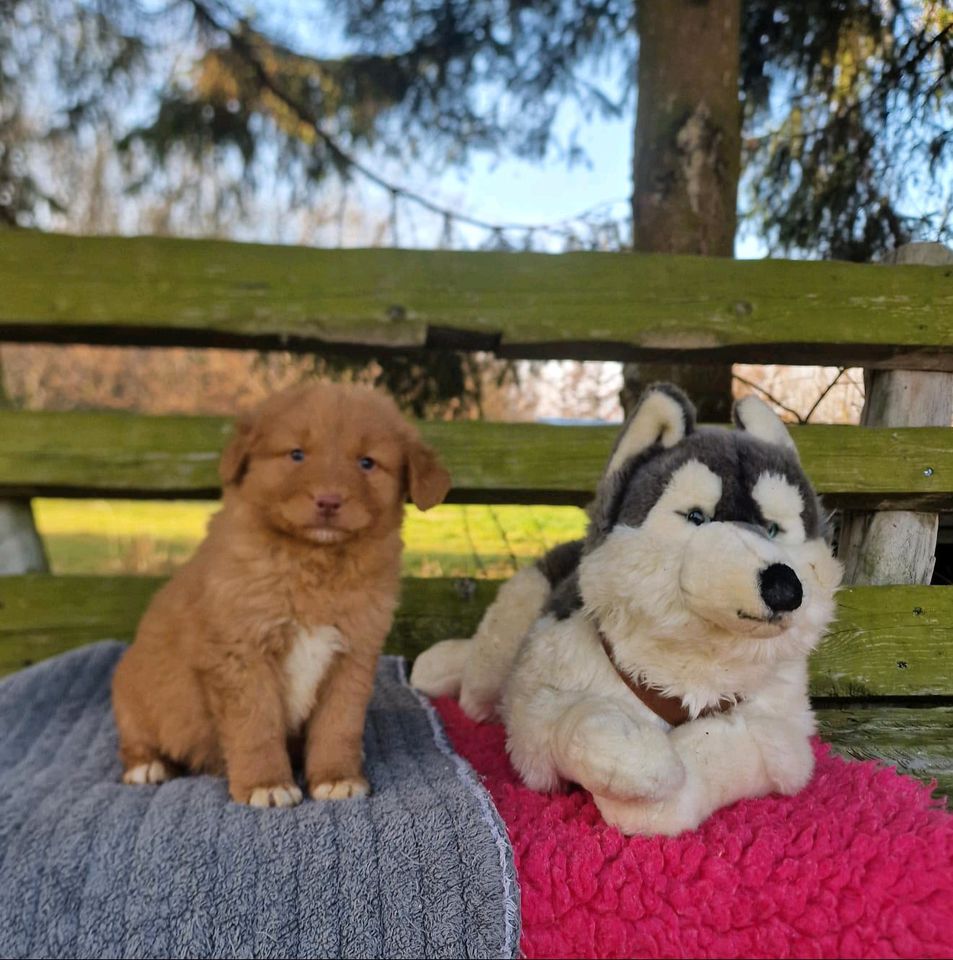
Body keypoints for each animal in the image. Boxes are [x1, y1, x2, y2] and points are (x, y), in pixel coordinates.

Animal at [111, 378, 450, 808]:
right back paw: (147, 766)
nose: (328, 500)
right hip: (132, 694)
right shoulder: (242, 654)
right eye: (296, 454)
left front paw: (336, 776)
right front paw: (266, 784)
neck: (313, 563)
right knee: (136, 739)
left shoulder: (352, 656)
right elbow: (256, 727)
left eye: (367, 463)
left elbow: (339, 725)